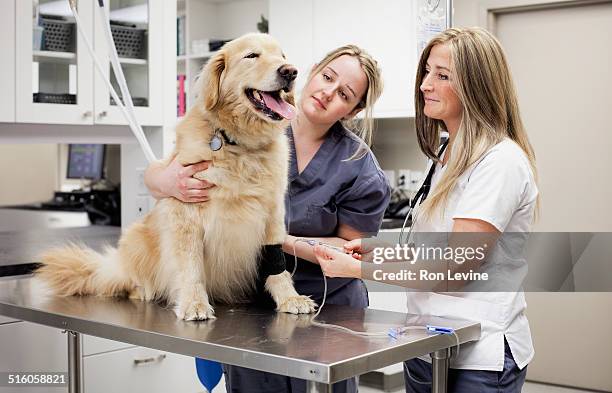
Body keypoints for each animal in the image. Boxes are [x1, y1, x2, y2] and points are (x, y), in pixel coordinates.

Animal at [35, 33, 316, 320]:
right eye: (251, 56)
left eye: (282, 56)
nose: (290, 71)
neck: (238, 144)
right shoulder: (185, 214)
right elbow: (190, 265)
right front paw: (194, 303)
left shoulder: (272, 213)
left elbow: (277, 264)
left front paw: (289, 297)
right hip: (136, 237)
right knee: (127, 278)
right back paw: (141, 289)